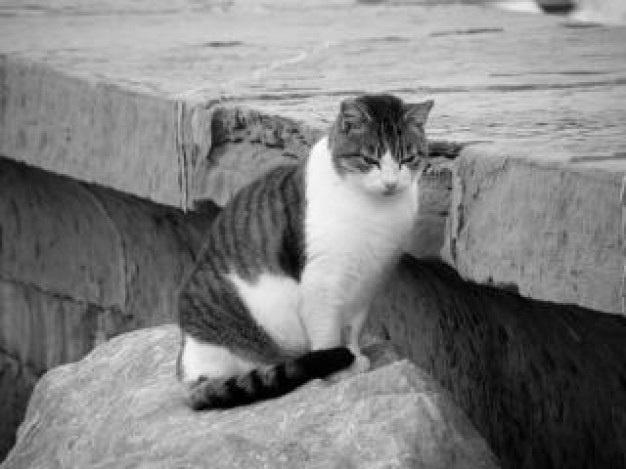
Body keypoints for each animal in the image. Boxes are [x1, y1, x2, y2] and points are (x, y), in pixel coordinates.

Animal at [178, 93, 432, 408]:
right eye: (369, 159)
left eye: (408, 158)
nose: (391, 183)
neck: (377, 211)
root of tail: (189, 371)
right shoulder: (322, 283)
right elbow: (328, 334)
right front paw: (341, 368)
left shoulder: (367, 282)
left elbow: (352, 329)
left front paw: (354, 356)